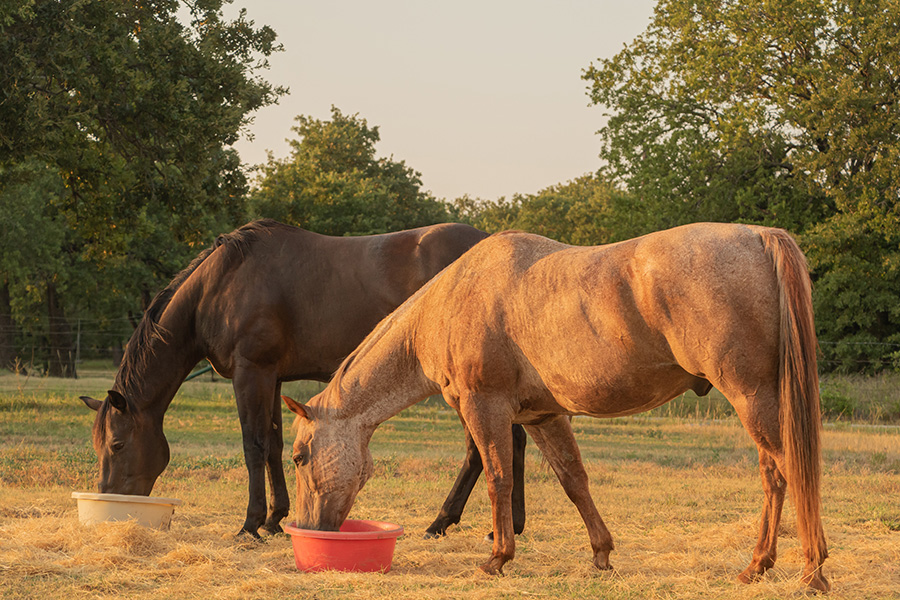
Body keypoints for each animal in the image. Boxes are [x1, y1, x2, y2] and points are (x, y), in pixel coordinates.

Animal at [81, 220, 532, 540]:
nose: (108, 498)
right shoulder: (274, 377)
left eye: (117, 445)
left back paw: (444, 521)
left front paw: (250, 524)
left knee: (483, 448)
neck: (221, 287)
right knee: (511, 442)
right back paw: (504, 525)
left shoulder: (251, 372)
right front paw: (275, 519)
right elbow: (275, 443)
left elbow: (253, 444)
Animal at [282, 223, 828, 592]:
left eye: (299, 457)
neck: (450, 304)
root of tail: (760, 236)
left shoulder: (485, 408)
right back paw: (759, 566)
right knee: (776, 475)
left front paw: (498, 557)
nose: (309, 530)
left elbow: (498, 477)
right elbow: (573, 481)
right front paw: (601, 553)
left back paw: (811, 570)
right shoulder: (544, 416)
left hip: (750, 397)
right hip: (761, 401)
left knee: (789, 470)